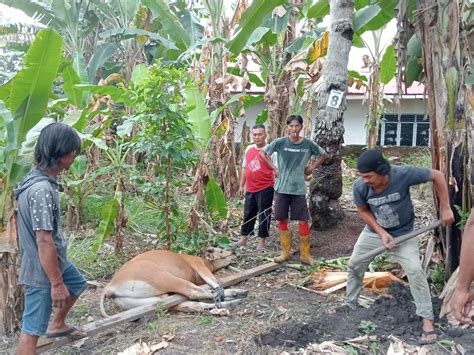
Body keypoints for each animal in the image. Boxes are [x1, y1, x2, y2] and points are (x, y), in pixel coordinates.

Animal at [100, 248, 248, 318]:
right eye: (221, 250)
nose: (234, 251)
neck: (207, 262)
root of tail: (110, 286)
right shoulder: (199, 266)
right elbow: (215, 282)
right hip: (163, 277)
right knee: (193, 292)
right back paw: (232, 295)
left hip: (154, 300)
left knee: (190, 305)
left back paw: (232, 301)